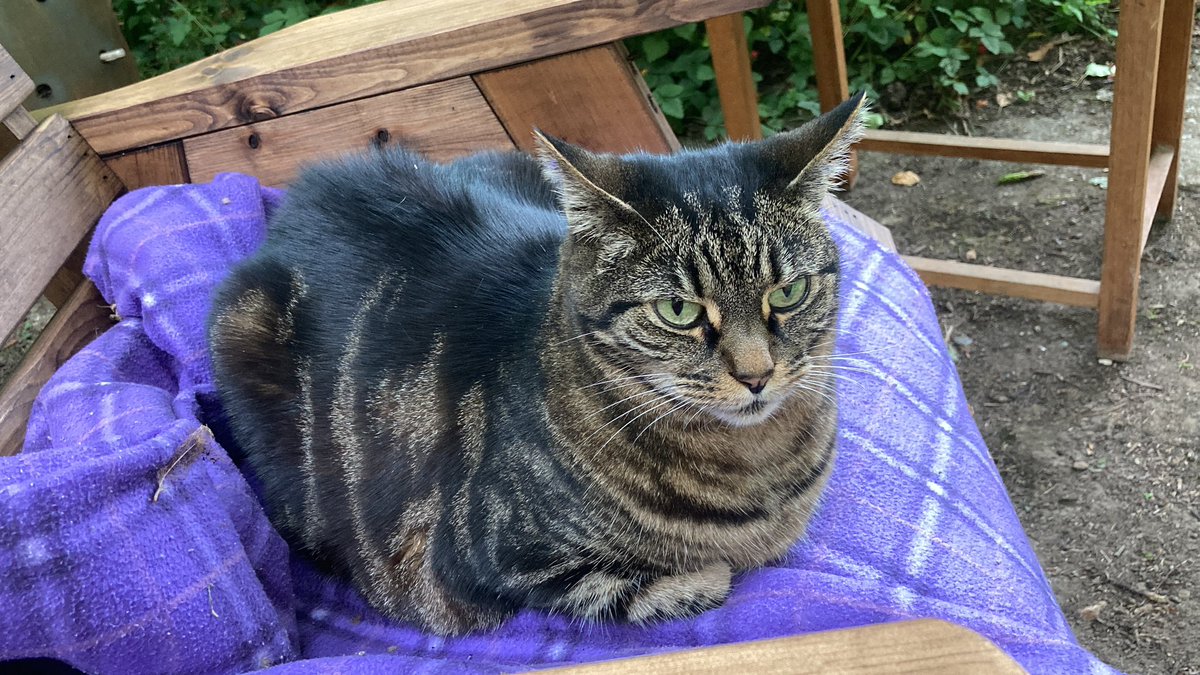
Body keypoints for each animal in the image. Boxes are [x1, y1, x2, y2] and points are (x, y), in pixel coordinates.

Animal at [206, 89, 864, 629]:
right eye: (677, 309)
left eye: (788, 292)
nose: (756, 375)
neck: (761, 466)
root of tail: (302, 193)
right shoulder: (489, 561)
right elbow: (647, 586)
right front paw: (703, 576)